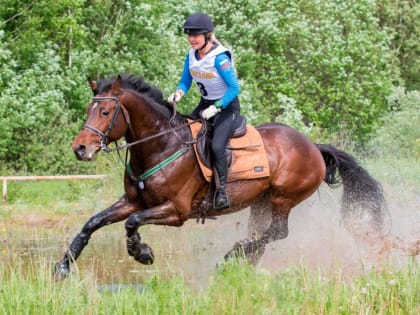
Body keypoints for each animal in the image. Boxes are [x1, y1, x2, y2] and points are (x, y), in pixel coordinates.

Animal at [54, 75, 388, 280]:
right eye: (89, 109)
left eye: (105, 112)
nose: (80, 148)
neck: (161, 145)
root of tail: (314, 147)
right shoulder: (133, 200)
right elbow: (93, 222)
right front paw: (63, 266)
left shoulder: (176, 211)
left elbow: (132, 223)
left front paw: (142, 253)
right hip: (261, 201)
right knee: (261, 234)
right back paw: (238, 265)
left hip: (284, 197)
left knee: (277, 232)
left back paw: (231, 257)